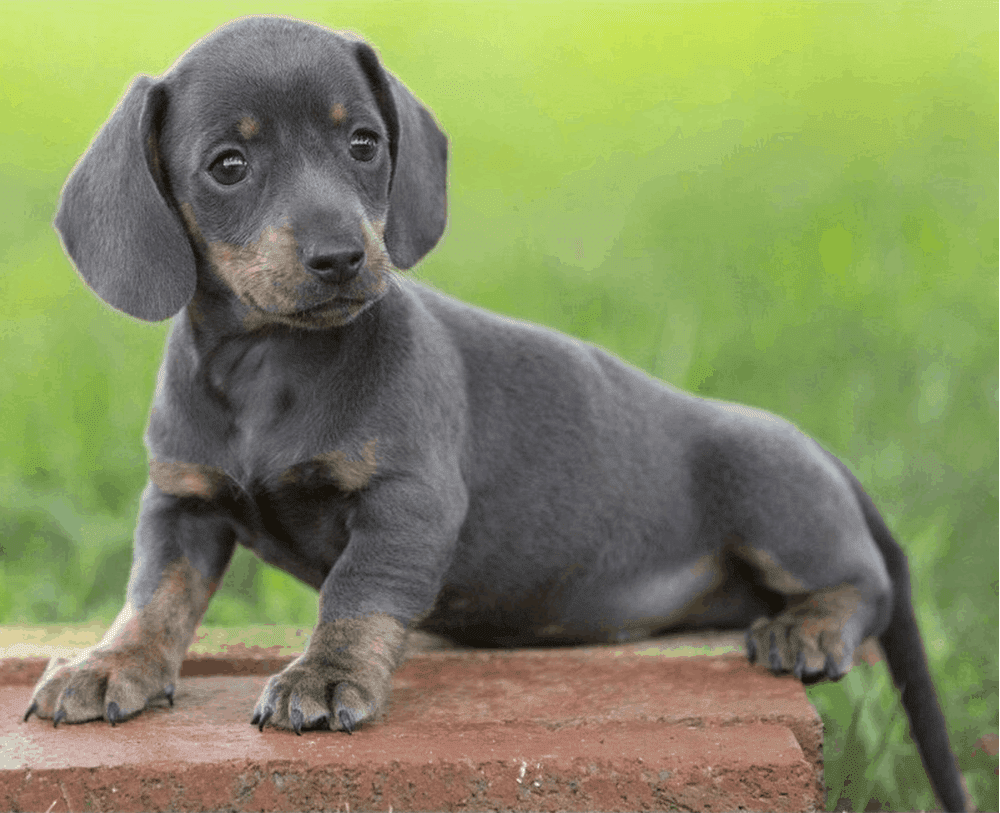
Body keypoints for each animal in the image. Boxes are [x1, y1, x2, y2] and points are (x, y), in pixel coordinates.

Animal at [21, 15, 960, 808]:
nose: (342, 256)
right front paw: (113, 663)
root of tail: (826, 458)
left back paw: (811, 626)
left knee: (867, 585)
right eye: (228, 165)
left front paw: (325, 676)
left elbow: (357, 594)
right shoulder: (182, 501)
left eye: (363, 143)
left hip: (773, 495)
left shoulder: (408, 500)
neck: (271, 365)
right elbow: (157, 594)